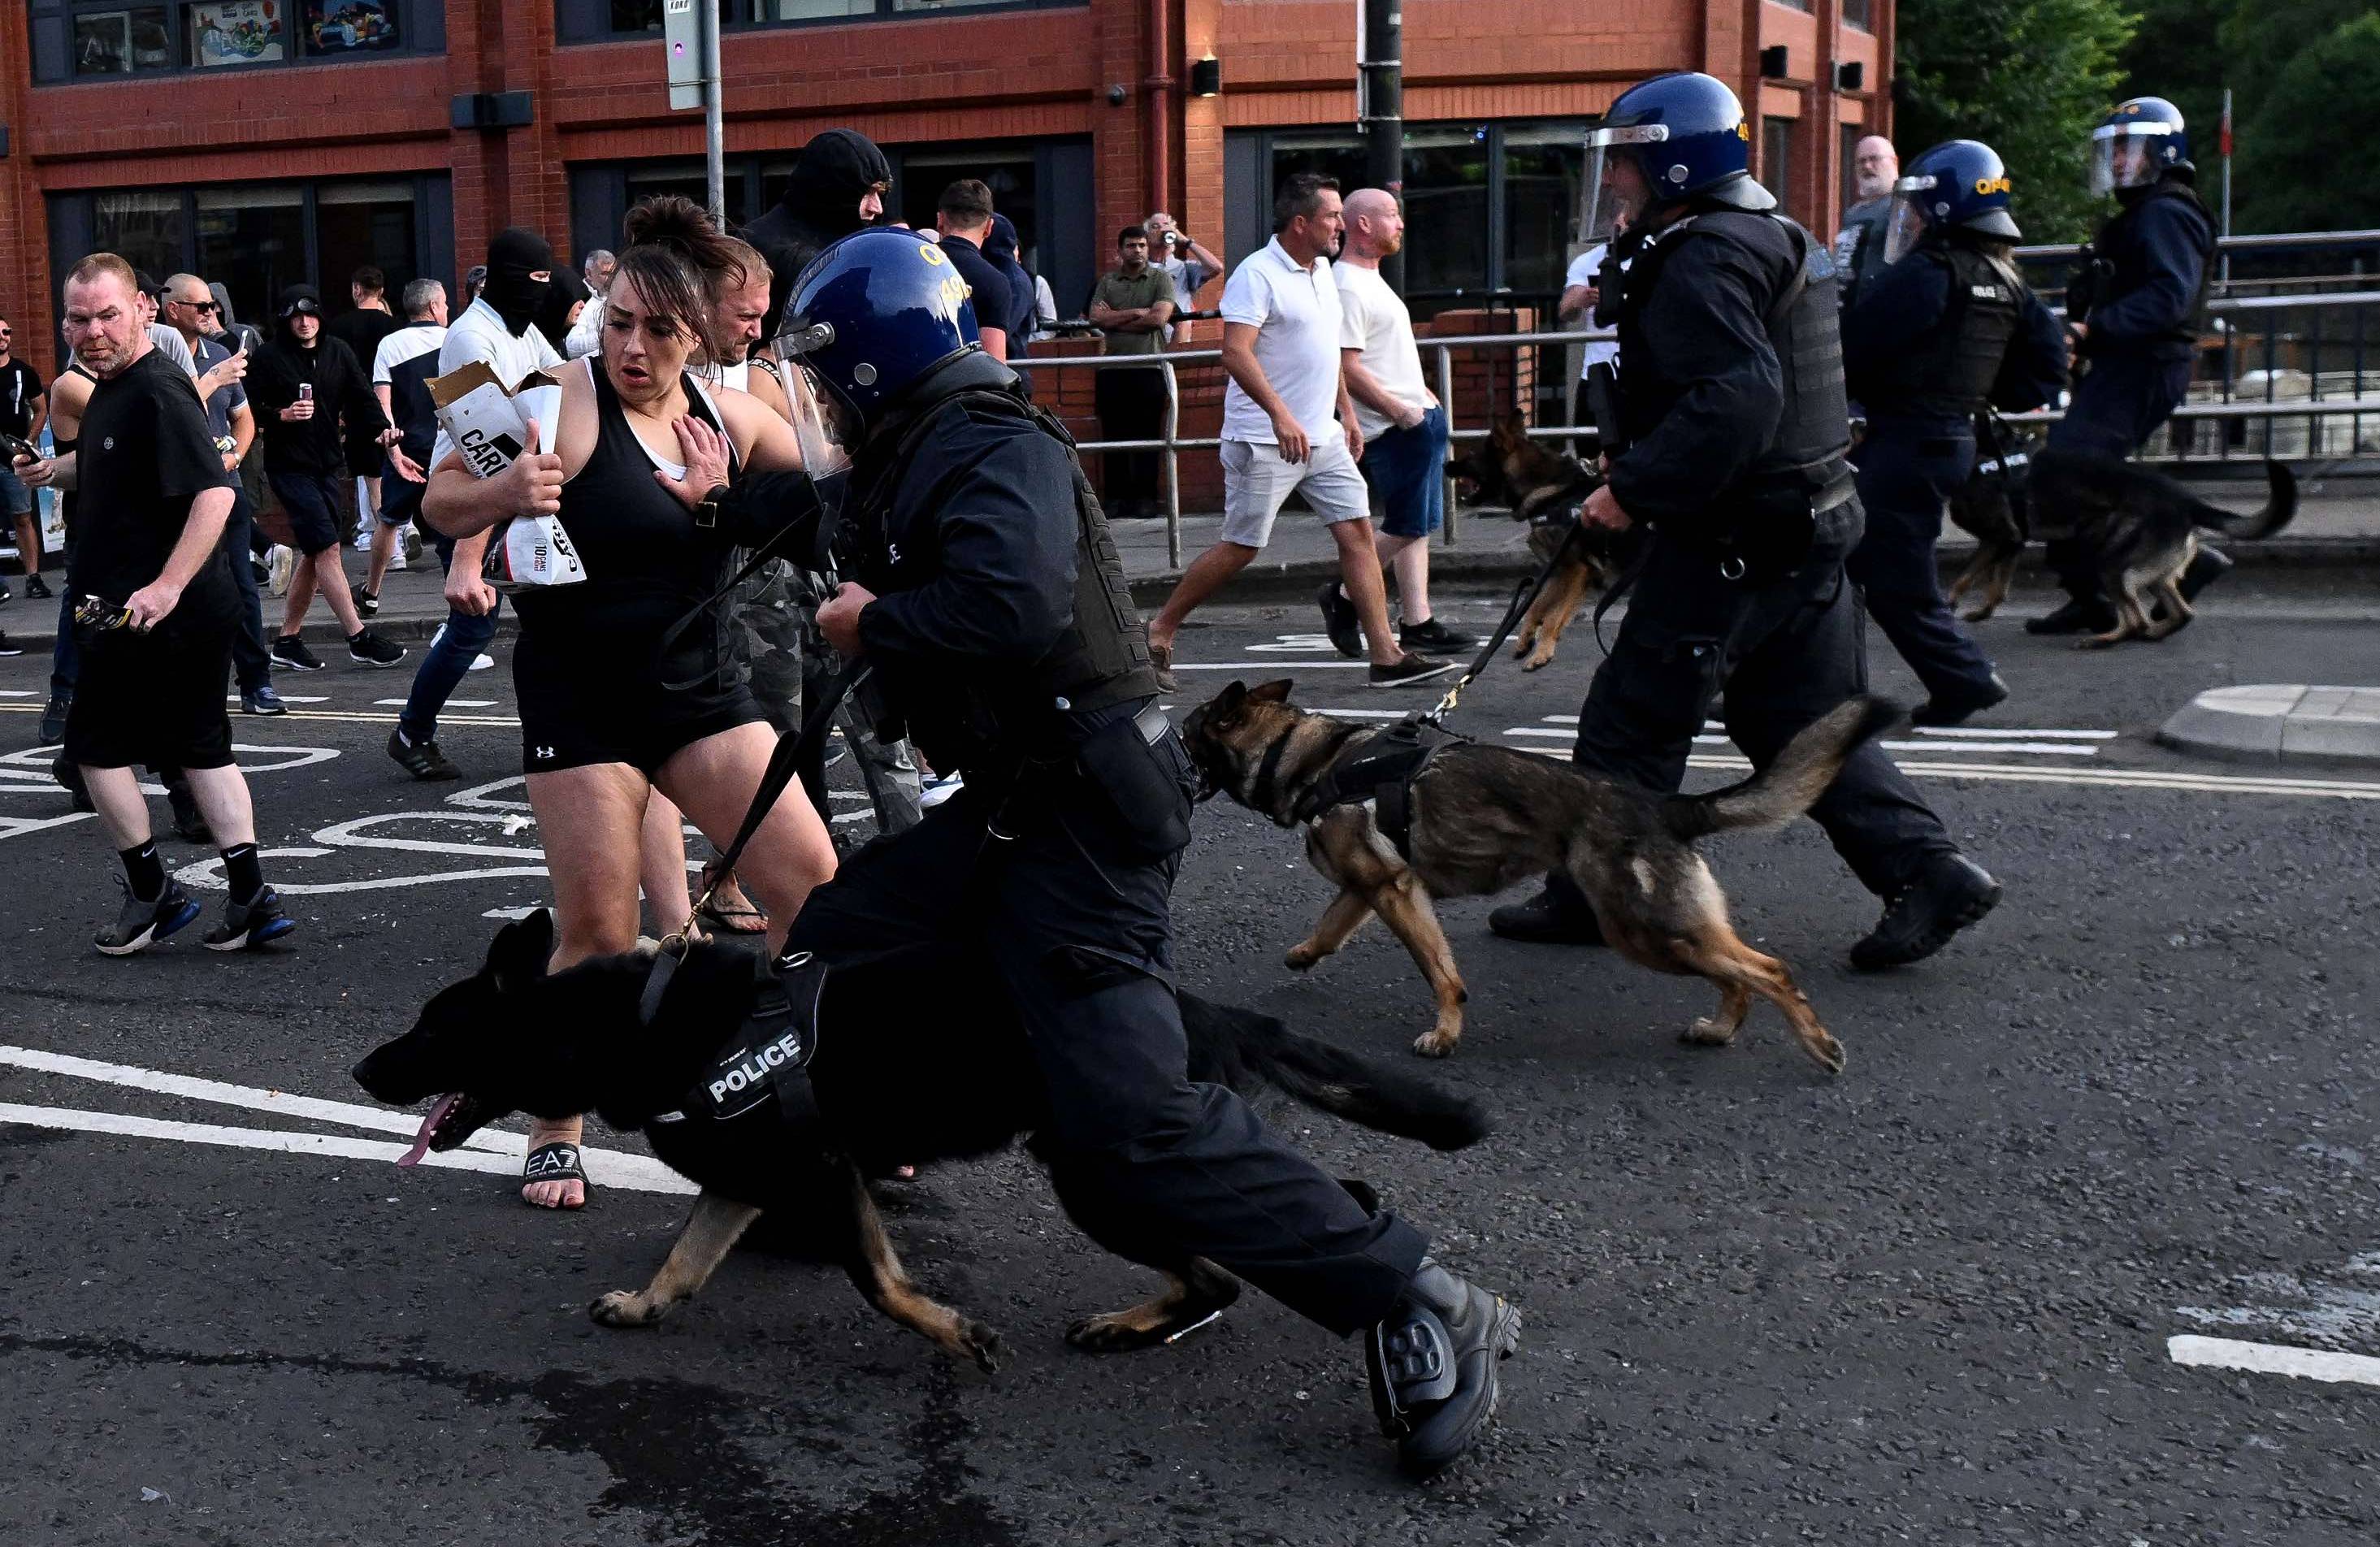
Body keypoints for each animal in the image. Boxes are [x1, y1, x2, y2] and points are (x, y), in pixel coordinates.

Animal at [347, 908, 1485, 1371]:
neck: (629, 1021)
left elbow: (877, 1281)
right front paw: (642, 1305)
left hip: (1100, 1173)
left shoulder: (823, 1170)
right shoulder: (747, 1179)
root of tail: (1197, 1008)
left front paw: (951, 1332)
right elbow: (686, 1258)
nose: (360, 1073)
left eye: (430, 1029)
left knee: (1230, 1257)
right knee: (1256, 1240)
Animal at [1180, 680, 1904, 1066]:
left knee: (1767, 970)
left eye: (1187, 734)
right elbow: (1331, 927)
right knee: (1737, 976)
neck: (1305, 755)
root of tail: (1661, 806)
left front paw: (1445, 1033)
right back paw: (1720, 1028)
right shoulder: (1373, 888)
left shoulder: (1393, 891)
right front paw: (1304, 955)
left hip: (1645, 932)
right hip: (1664, 934)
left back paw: (1815, 1044)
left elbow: (1440, 973)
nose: (1165, 753)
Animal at [2027, 444, 2304, 642]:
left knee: (2135, 620)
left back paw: (2106, 639)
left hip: (2112, 565)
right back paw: (2152, 631)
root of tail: (2189, 503)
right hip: (2155, 574)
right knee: (2181, 613)